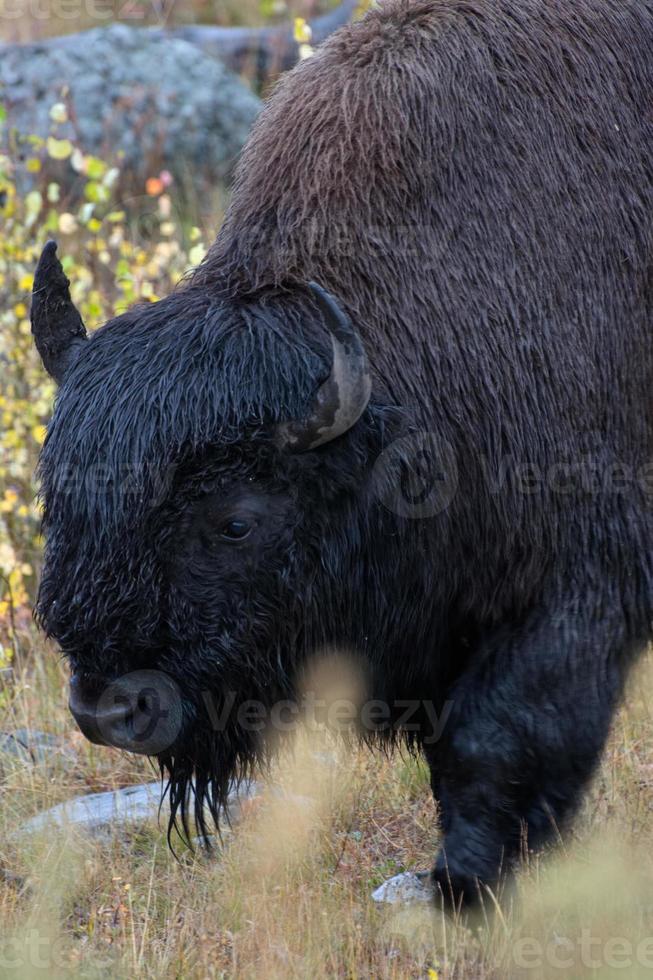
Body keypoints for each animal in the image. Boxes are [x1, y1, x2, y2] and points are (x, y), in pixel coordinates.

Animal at [29, 0, 652, 912]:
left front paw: (460, 890)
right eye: (59, 501)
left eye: (237, 521)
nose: (114, 709)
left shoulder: (574, 590)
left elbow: (497, 741)